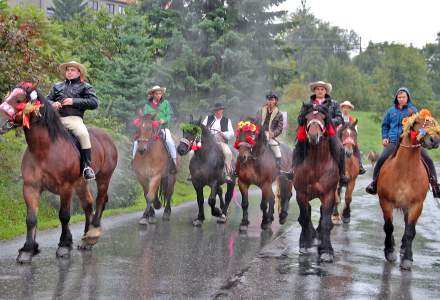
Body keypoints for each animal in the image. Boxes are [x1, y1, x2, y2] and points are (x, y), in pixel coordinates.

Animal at [0, 82, 117, 262]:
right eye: (8, 96)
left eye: (19, 100)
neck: (45, 150)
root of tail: (107, 138)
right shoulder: (31, 187)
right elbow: (31, 218)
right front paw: (28, 249)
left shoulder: (65, 188)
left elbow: (64, 215)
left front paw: (64, 245)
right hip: (81, 184)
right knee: (88, 204)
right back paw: (85, 238)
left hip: (103, 178)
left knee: (100, 202)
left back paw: (92, 235)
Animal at [292, 103, 340, 262]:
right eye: (306, 118)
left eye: (323, 118)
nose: (314, 136)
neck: (316, 165)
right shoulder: (301, 193)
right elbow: (305, 217)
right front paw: (305, 244)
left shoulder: (329, 194)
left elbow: (325, 222)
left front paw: (326, 251)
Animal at [376, 109, 440, 270]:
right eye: (419, 122)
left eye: (433, 123)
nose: (435, 140)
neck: (405, 170)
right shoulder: (385, 202)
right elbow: (388, 227)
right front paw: (389, 252)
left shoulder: (416, 205)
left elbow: (410, 231)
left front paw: (407, 259)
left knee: (407, 227)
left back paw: (404, 248)